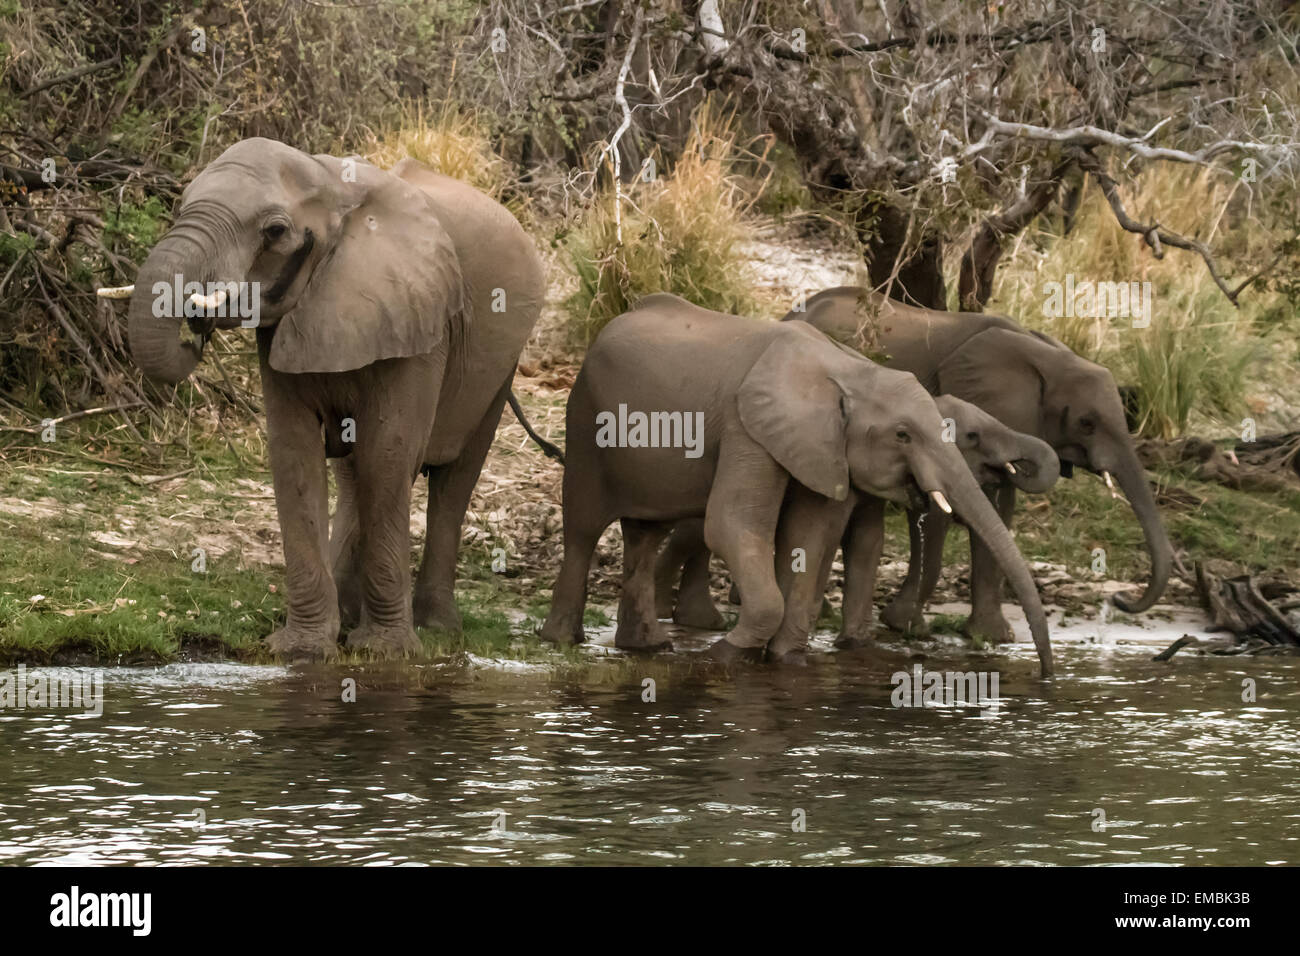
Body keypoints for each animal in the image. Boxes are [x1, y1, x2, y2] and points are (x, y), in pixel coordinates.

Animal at [100, 138, 543, 660]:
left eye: (274, 231)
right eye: (181, 206)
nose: (196, 330)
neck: (335, 187)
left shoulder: (422, 323)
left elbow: (390, 452)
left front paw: (385, 652)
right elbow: (295, 453)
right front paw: (302, 651)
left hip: (500, 365)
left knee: (452, 478)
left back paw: (435, 627)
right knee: (354, 474)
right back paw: (350, 615)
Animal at [538, 295, 1055, 676]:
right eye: (903, 435)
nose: (1046, 675)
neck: (849, 371)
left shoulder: (820, 447)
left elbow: (808, 539)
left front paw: (785, 658)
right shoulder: (749, 427)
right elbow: (732, 525)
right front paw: (726, 654)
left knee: (644, 535)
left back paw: (645, 648)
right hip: (585, 421)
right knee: (583, 527)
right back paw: (564, 640)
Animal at [790, 286, 1180, 642]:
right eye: (1087, 423)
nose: (1121, 599)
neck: (1047, 355)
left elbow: (998, 511)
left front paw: (993, 638)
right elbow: (939, 512)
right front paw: (905, 626)